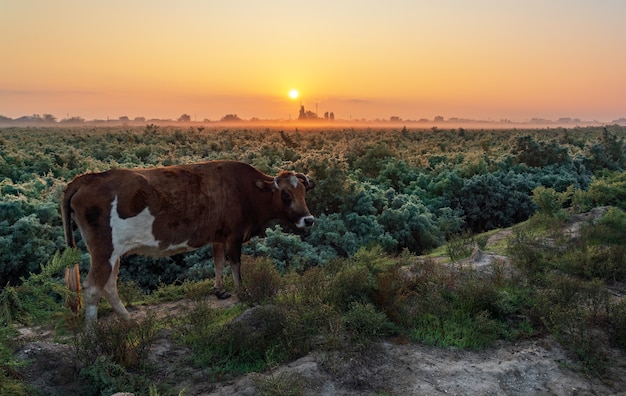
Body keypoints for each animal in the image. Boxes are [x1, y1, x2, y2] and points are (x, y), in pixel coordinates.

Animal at [61, 159, 314, 326]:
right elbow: (235, 265)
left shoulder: (218, 236)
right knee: (93, 287)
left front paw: (220, 290)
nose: (309, 219)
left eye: (304, 193)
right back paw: (92, 335)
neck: (245, 189)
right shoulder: (233, 236)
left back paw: (129, 320)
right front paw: (243, 293)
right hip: (105, 250)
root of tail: (88, 178)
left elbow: (218, 263)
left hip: (114, 254)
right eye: (286, 194)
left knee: (109, 285)